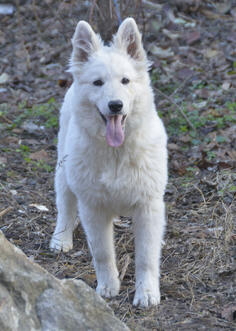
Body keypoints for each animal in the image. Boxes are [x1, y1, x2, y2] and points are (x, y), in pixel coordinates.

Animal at [49, 18, 168, 308]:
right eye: (97, 83)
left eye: (125, 80)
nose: (115, 105)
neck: (116, 154)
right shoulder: (93, 206)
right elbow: (102, 252)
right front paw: (107, 287)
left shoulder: (148, 207)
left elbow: (146, 257)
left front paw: (147, 294)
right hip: (64, 172)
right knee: (65, 206)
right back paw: (61, 238)